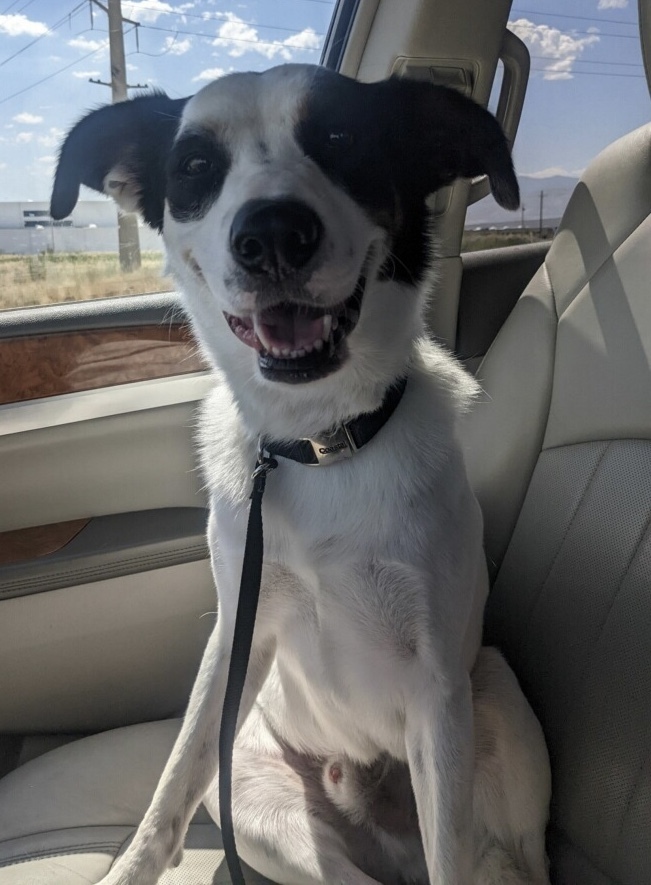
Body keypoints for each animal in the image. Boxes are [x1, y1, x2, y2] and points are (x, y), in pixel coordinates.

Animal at [51, 64, 552, 884]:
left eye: (341, 138)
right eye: (196, 165)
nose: (273, 235)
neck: (318, 441)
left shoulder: (438, 688)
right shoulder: (236, 635)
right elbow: (171, 786)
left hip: (496, 703)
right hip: (256, 807)